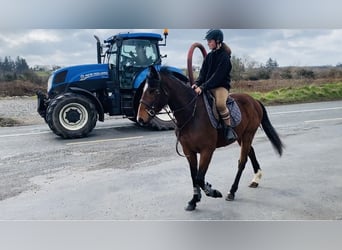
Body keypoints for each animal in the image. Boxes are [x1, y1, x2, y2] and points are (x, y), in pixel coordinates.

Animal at [136, 66, 284, 211]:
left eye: (153, 91)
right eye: (143, 90)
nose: (140, 118)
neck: (192, 114)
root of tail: (254, 101)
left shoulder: (207, 150)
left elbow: (200, 177)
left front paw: (212, 192)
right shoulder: (189, 151)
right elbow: (194, 176)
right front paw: (194, 200)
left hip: (248, 134)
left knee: (242, 162)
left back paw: (232, 191)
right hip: (241, 136)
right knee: (251, 152)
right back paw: (255, 179)